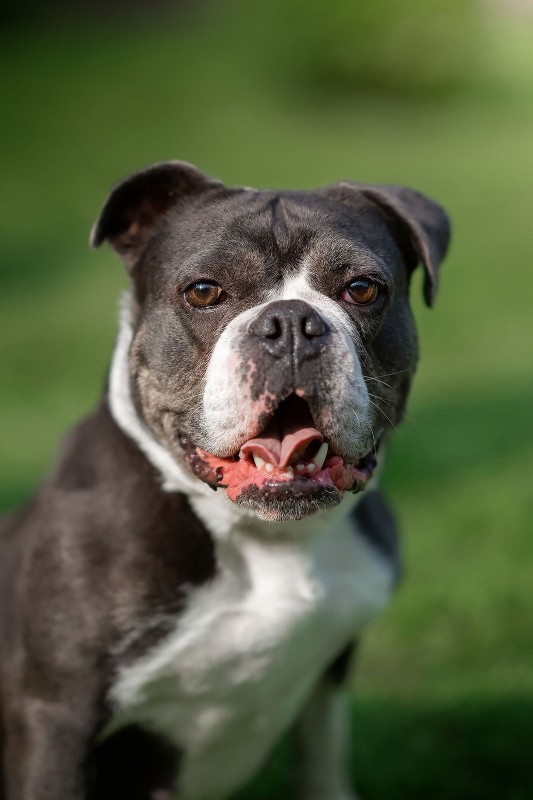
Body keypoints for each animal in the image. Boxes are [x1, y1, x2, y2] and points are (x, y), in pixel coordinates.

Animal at [0, 161, 450, 800]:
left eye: (362, 288)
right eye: (204, 291)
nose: (291, 322)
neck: (268, 538)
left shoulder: (331, 672)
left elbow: (323, 762)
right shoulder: (54, 716)